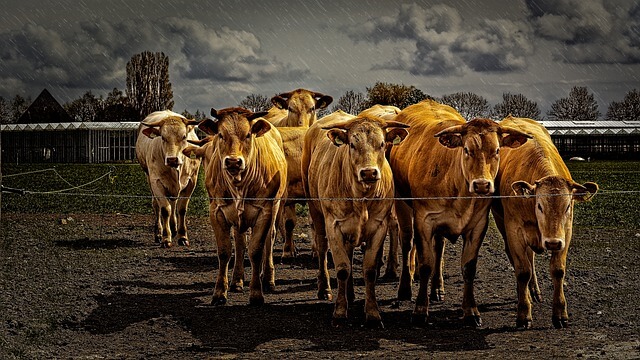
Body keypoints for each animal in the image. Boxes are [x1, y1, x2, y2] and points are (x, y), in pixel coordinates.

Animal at [136, 111, 201, 249]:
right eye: (163, 137)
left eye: (184, 136)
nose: (172, 159)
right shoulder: (156, 182)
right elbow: (165, 209)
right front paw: (166, 238)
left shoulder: (191, 181)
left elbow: (181, 209)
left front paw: (182, 237)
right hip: (148, 177)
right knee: (157, 205)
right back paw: (159, 233)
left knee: (173, 202)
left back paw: (174, 227)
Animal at [198, 107, 288, 306]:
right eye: (221, 135)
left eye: (248, 135)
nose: (233, 161)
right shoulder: (216, 211)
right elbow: (225, 251)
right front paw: (219, 293)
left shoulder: (265, 212)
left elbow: (256, 251)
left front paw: (256, 294)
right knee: (240, 243)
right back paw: (237, 281)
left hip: (276, 207)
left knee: (269, 240)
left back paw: (268, 279)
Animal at [302, 109, 410, 326]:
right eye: (352, 144)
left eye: (382, 144)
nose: (368, 172)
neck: (361, 197)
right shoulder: (334, 226)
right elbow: (342, 268)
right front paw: (339, 312)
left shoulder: (379, 227)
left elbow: (369, 270)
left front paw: (373, 313)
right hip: (316, 212)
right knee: (322, 247)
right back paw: (324, 288)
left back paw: (350, 294)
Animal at [390, 98, 528, 326]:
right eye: (466, 150)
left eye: (497, 151)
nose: (482, 185)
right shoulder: (423, 221)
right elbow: (425, 264)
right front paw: (420, 310)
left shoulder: (478, 224)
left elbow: (468, 268)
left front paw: (471, 311)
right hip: (401, 203)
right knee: (407, 243)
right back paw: (404, 289)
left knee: (439, 248)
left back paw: (437, 288)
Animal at [490, 116, 600, 330]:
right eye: (539, 206)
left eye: (568, 206)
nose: (552, 243)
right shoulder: (514, 230)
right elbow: (522, 271)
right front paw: (523, 313)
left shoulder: (565, 232)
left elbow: (558, 270)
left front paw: (560, 314)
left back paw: (535, 291)